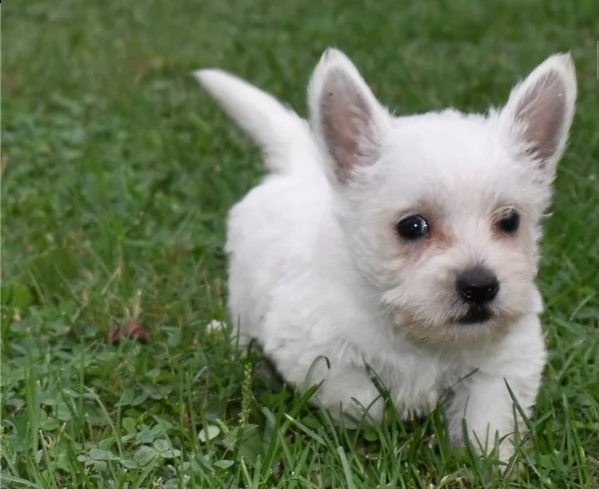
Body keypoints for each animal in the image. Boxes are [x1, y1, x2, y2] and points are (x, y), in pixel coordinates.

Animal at [193, 47, 576, 460]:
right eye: (412, 226)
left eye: (509, 221)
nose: (480, 286)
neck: (416, 332)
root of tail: (300, 168)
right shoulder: (316, 352)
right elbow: (364, 403)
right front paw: (403, 413)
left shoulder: (504, 363)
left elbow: (487, 420)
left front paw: (494, 461)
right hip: (245, 300)